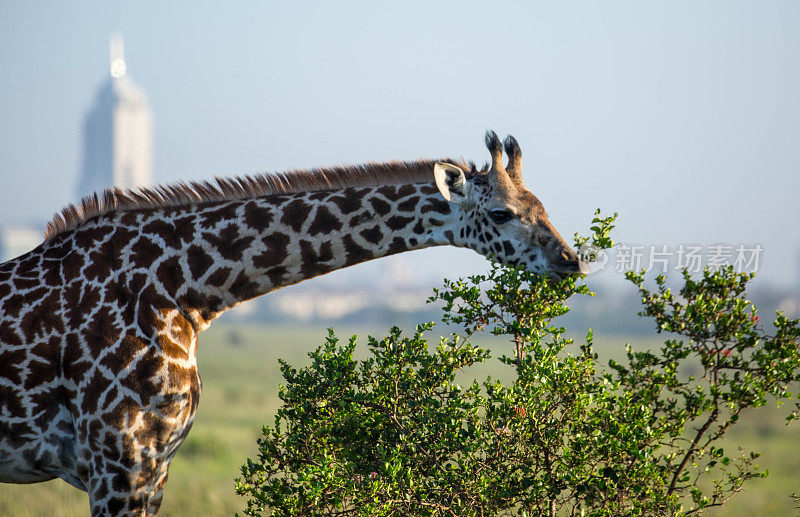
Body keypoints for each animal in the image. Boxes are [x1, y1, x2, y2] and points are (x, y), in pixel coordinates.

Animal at [0, 132, 588, 512]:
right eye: (501, 213)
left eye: (542, 203)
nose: (570, 260)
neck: (183, 290)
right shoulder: (119, 461)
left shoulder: (152, 467)